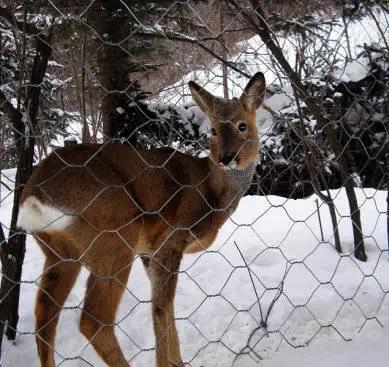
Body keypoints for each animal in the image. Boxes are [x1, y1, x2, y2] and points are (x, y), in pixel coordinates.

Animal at [18, 72, 266, 367]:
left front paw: (178, 362)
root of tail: (34, 194)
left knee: (45, 319)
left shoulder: (148, 251)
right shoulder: (171, 238)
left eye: (242, 125)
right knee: (93, 320)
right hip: (113, 237)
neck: (213, 193)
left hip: (60, 252)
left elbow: (165, 306)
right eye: (215, 130)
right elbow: (160, 306)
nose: (227, 158)